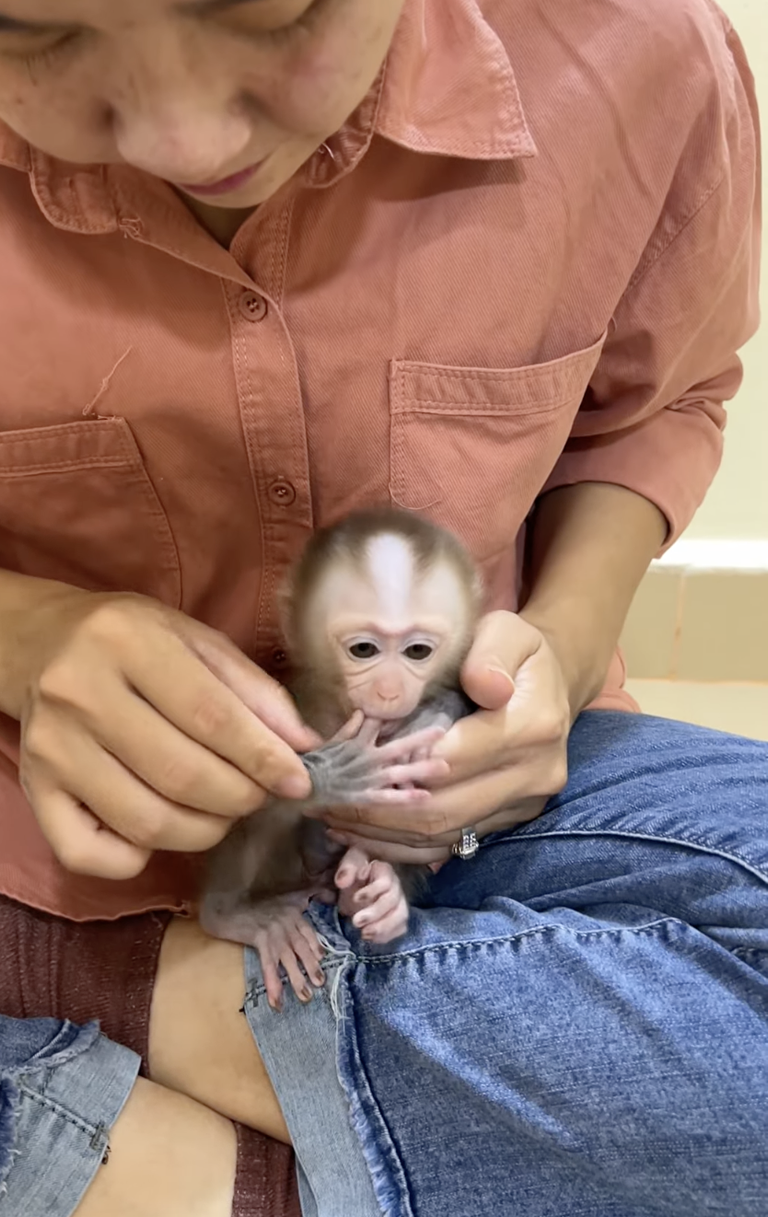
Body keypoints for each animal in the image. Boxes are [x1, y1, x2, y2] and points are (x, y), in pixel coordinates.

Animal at [200, 507, 483, 1010]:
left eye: (417, 651)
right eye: (363, 650)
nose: (389, 691)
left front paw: (436, 712)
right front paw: (330, 775)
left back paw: (378, 892)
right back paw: (232, 912)